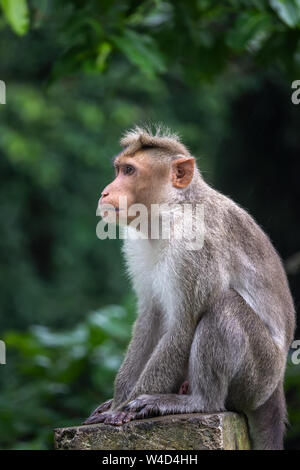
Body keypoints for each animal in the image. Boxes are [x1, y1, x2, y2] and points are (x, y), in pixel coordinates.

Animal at [84, 126, 296, 452]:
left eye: (129, 171)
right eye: (119, 169)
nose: (105, 192)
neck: (172, 212)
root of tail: (277, 387)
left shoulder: (197, 246)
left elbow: (184, 324)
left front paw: (123, 409)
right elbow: (151, 317)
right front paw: (118, 402)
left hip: (259, 377)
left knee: (224, 308)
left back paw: (199, 401)